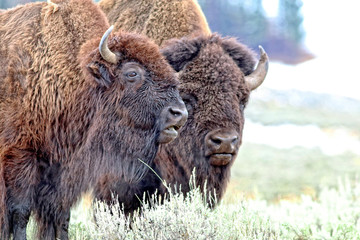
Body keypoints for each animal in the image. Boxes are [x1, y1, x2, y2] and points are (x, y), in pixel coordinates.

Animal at [0, 0, 187, 238]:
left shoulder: (65, 170)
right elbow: (21, 211)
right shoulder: (20, 155)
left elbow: (60, 215)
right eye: (132, 73)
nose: (179, 113)